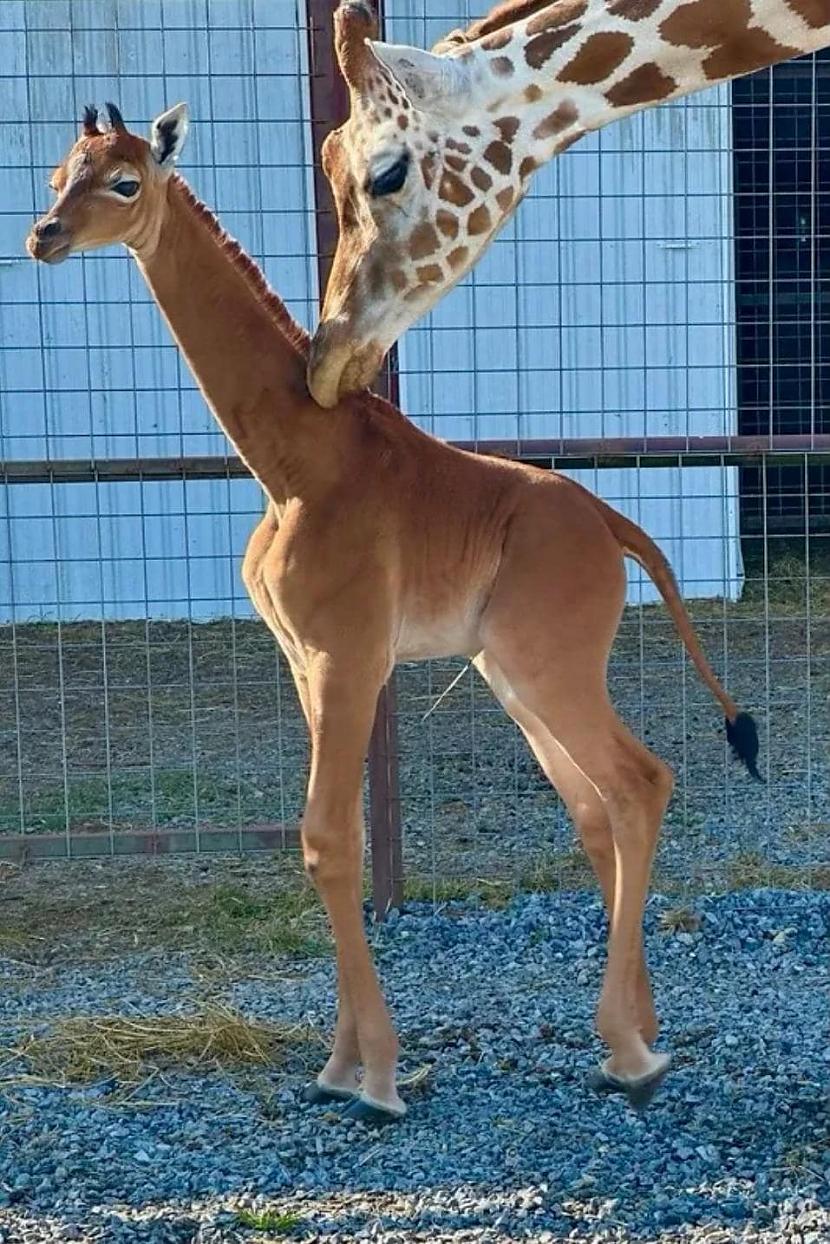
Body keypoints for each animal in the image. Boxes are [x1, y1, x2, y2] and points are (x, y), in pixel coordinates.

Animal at [27, 102, 761, 1124]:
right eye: (59, 173)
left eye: (125, 181)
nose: (43, 236)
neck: (293, 463)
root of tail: (615, 526)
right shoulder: (306, 661)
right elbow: (334, 842)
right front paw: (340, 1065)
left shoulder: (349, 656)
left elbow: (329, 840)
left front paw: (374, 1076)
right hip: (511, 675)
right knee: (595, 805)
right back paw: (641, 1034)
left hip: (550, 664)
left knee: (639, 782)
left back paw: (629, 1053)